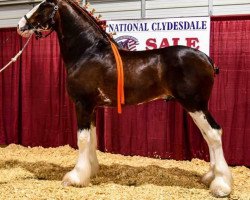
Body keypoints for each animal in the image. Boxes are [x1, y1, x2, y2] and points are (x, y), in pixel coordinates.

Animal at [17, 0, 232, 197]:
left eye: (43, 6)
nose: (20, 25)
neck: (88, 52)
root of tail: (207, 59)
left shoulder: (82, 104)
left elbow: (83, 139)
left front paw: (75, 178)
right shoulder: (92, 107)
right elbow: (93, 138)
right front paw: (91, 171)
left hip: (194, 104)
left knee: (213, 133)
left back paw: (221, 185)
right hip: (197, 106)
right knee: (209, 135)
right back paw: (210, 177)